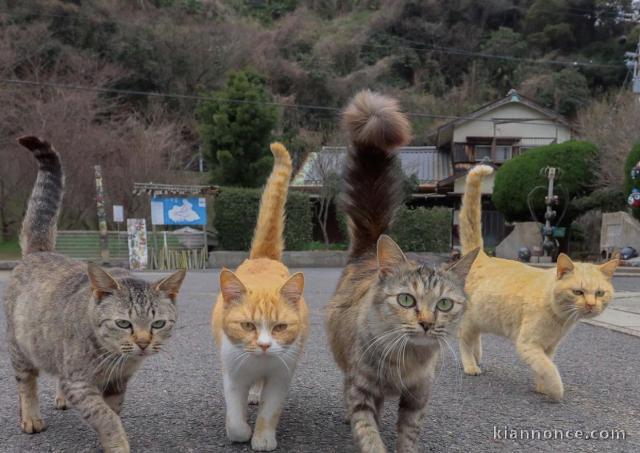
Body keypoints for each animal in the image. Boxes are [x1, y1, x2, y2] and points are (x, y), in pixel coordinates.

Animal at [3, 136, 185, 452]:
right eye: (123, 323)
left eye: (158, 323)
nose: (143, 343)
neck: (114, 358)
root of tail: (40, 252)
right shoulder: (80, 383)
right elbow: (105, 416)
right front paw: (117, 442)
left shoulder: (118, 383)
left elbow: (113, 411)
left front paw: (109, 438)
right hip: (20, 348)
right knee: (26, 383)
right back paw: (31, 416)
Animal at [211, 141, 308, 448]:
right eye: (247, 325)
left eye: (280, 327)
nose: (265, 345)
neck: (259, 363)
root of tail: (264, 257)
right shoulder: (232, 375)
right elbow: (233, 418)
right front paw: (242, 433)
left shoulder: (281, 376)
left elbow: (270, 410)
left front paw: (263, 438)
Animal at [328, 89, 478, 452]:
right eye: (406, 300)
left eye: (444, 304)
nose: (426, 323)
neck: (406, 360)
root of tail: (369, 248)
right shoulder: (362, 391)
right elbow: (368, 434)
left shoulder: (417, 398)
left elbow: (407, 437)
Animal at [458, 162, 616, 400]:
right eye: (578, 292)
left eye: (599, 293)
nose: (590, 305)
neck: (561, 319)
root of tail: (482, 256)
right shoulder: (529, 345)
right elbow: (549, 369)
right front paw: (555, 391)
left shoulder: (549, 347)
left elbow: (544, 366)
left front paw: (541, 387)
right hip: (469, 319)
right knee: (464, 340)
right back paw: (470, 365)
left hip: (482, 318)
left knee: (474, 337)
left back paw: (477, 357)